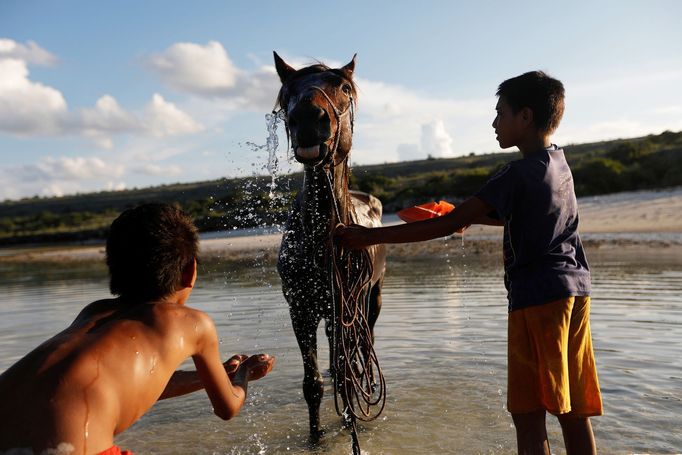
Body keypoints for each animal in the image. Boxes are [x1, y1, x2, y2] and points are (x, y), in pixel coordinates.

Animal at [272, 51, 388, 444]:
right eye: (288, 92)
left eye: (343, 88)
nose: (308, 118)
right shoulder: (301, 310)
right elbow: (313, 383)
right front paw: (315, 438)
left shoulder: (345, 305)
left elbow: (345, 366)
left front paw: (350, 424)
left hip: (371, 299)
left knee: (360, 349)